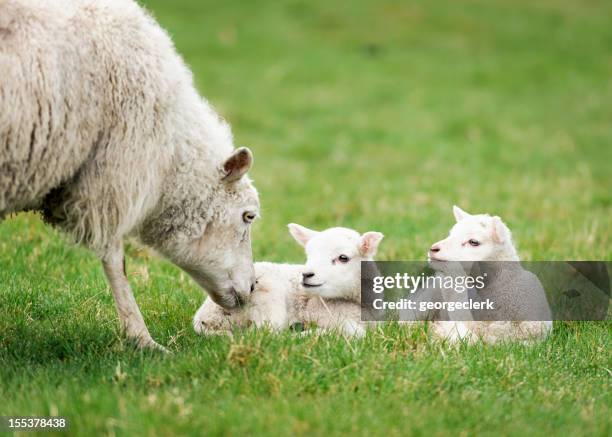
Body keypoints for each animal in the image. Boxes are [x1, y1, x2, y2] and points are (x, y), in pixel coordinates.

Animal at [0, 0, 260, 350]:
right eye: (248, 216)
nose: (253, 287)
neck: (168, 151)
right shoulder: (111, 174)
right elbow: (115, 258)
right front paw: (142, 338)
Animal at [192, 225, 382, 338]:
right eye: (309, 255)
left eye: (343, 258)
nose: (306, 274)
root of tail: (203, 318)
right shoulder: (321, 313)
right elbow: (355, 332)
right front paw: (316, 332)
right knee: (263, 334)